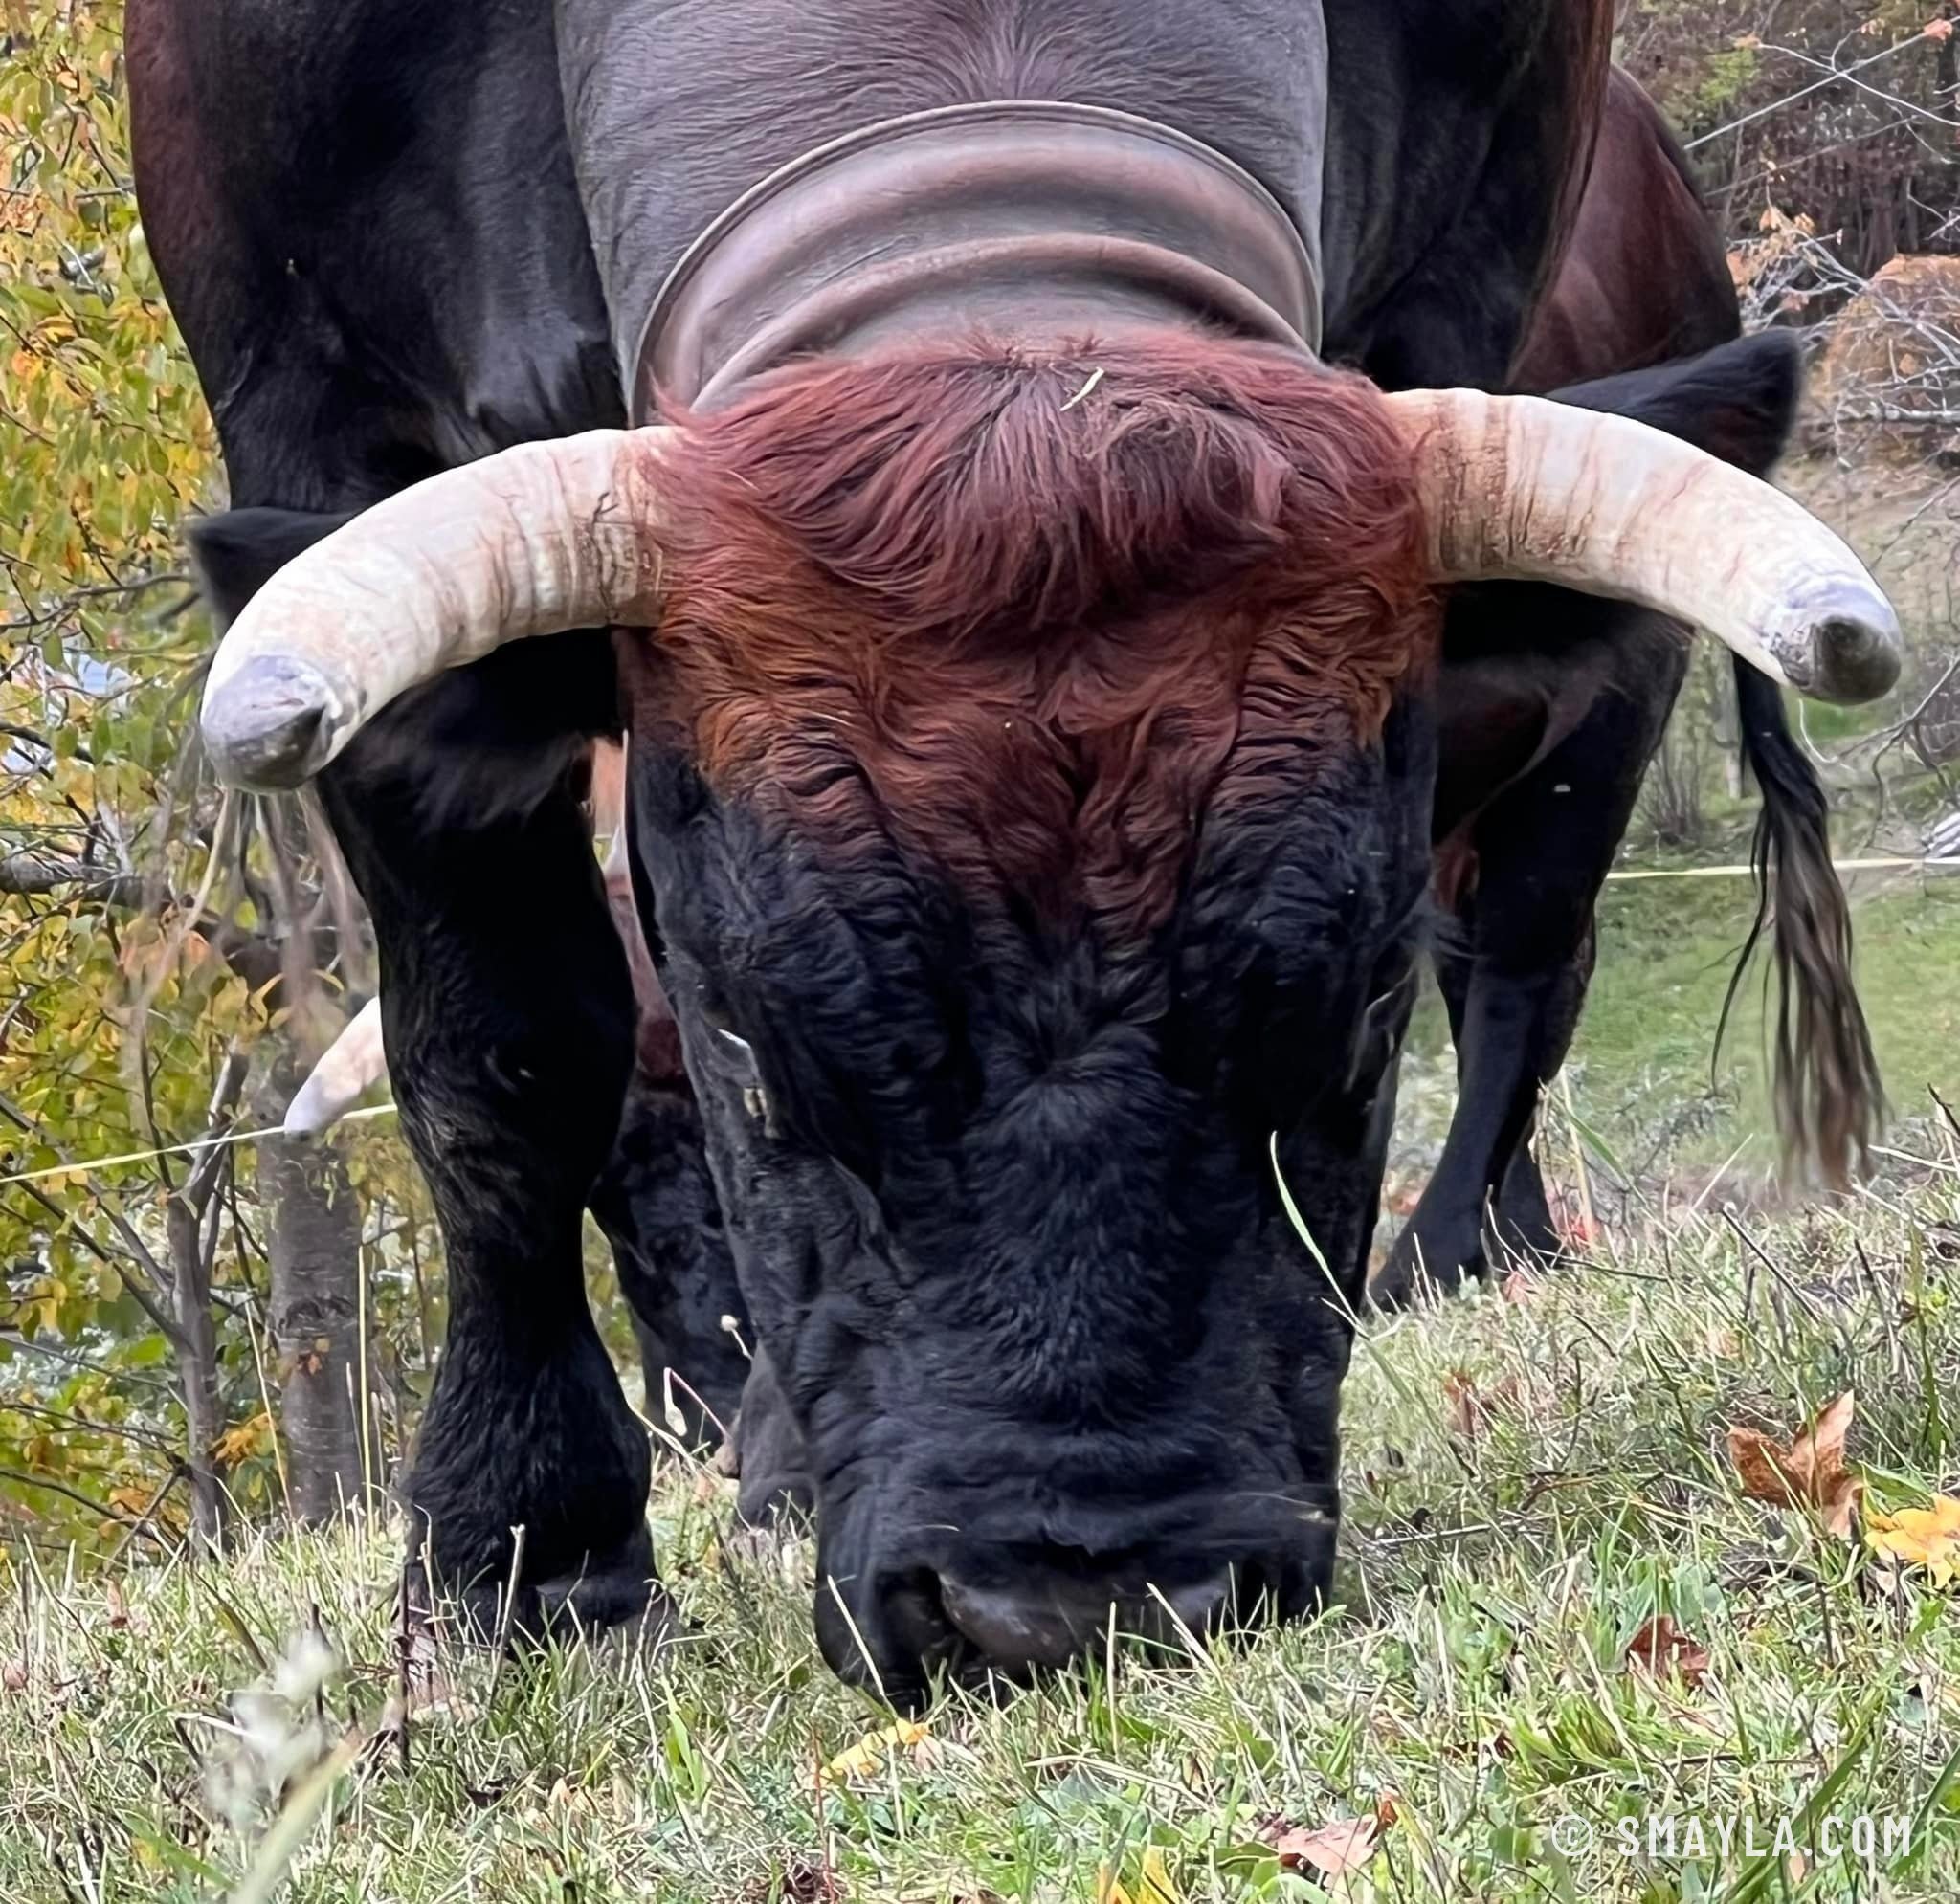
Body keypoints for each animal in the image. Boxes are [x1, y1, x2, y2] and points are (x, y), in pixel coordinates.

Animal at [129, 0, 1900, 1704]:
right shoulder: (313, 397)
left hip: (1601, 718)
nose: (1072, 1605)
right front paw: (524, 1563)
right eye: (752, 1049)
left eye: (1344, 1031)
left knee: (1523, 964)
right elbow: (501, 1063)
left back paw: (1457, 1256)